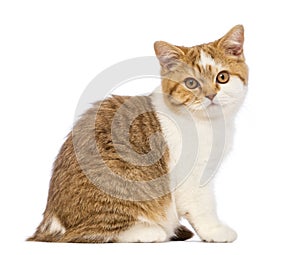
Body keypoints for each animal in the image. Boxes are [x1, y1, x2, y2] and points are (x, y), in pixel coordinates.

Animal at [28, 24, 248, 243]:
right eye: (191, 83)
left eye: (222, 77)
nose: (211, 95)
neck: (209, 123)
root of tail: (51, 221)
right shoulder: (192, 177)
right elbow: (202, 207)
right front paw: (215, 230)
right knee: (94, 232)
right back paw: (151, 231)